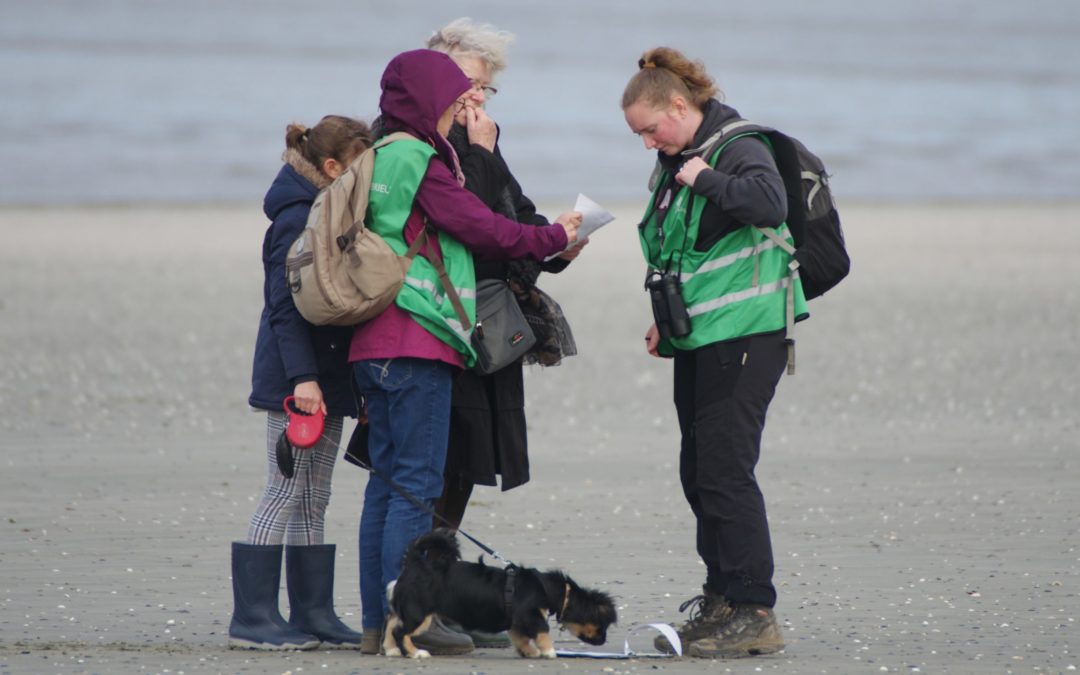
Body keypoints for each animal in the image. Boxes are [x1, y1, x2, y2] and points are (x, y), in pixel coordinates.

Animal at [382, 529, 617, 656]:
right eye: (601, 625)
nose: (604, 641)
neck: (548, 588)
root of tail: (414, 564)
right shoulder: (531, 615)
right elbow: (542, 632)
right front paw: (548, 651)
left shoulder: (516, 621)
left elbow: (521, 638)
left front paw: (529, 652)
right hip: (419, 614)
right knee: (400, 632)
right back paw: (415, 653)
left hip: (406, 611)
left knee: (390, 624)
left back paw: (391, 650)